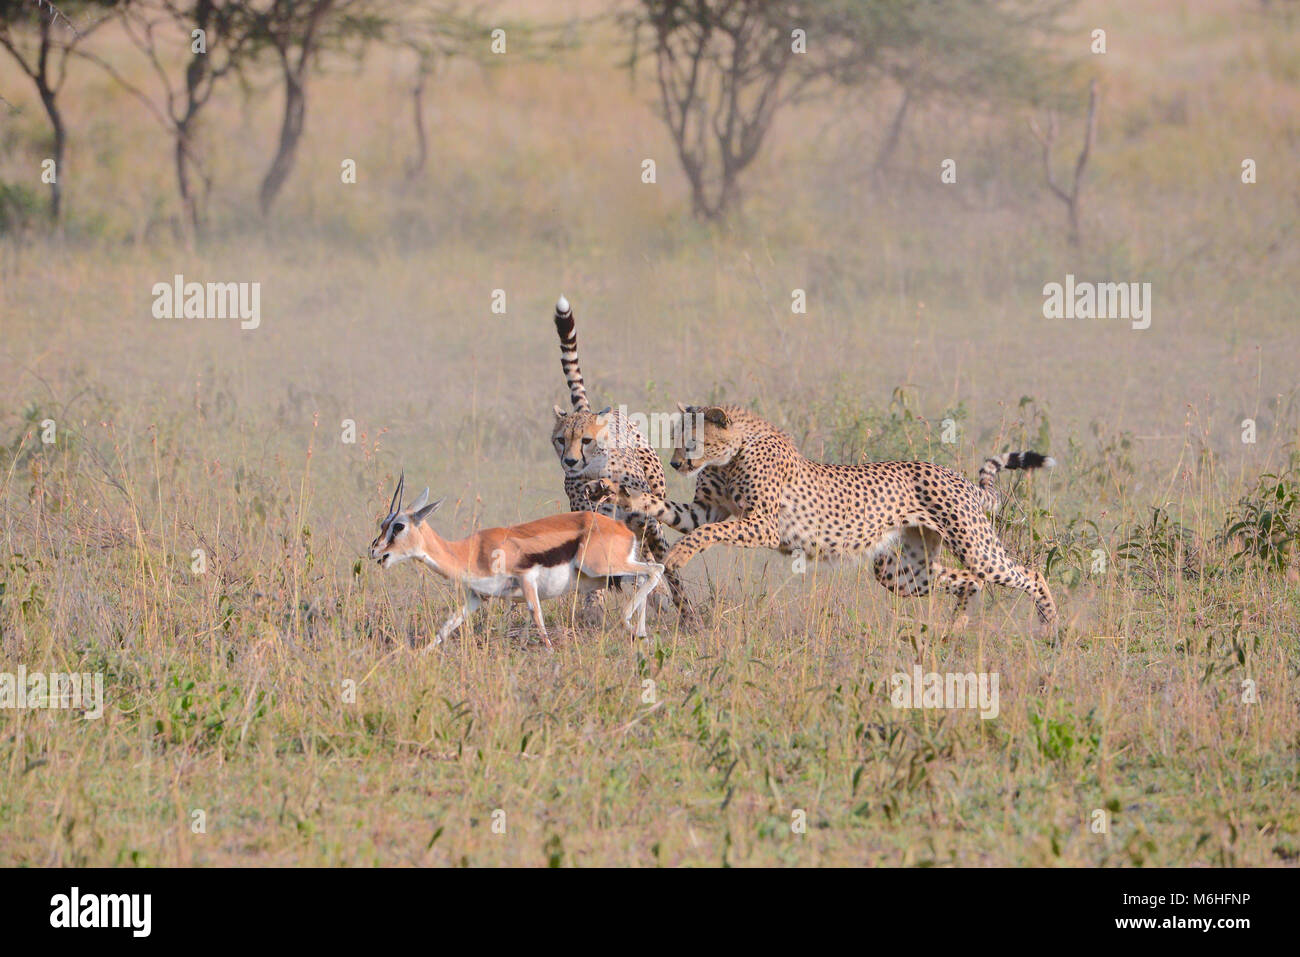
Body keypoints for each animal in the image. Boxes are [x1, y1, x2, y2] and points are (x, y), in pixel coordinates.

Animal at [548, 297, 691, 613]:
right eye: (561, 440)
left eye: (586, 440)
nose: (570, 461)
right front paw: (594, 608)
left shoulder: (651, 524)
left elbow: (670, 568)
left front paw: (688, 612)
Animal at [590, 403, 1055, 629]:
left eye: (691, 440)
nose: (674, 462)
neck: (733, 453)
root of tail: (955, 475)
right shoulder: (704, 509)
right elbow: (665, 509)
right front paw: (618, 491)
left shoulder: (760, 525)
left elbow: (708, 534)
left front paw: (679, 556)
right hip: (899, 570)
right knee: (968, 580)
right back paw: (959, 621)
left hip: (973, 546)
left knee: (1028, 573)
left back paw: (1050, 628)